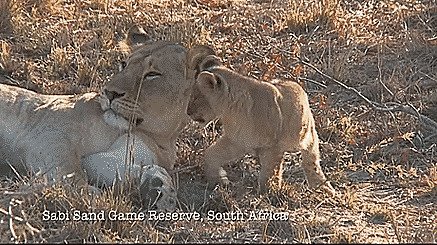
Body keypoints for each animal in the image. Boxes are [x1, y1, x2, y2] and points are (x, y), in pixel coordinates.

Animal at [186, 45, 334, 195]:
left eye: (195, 97)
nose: (188, 112)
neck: (231, 112)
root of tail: (296, 85)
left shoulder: (273, 147)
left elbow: (270, 173)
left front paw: (269, 193)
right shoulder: (237, 141)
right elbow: (211, 154)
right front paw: (218, 180)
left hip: (307, 134)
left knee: (311, 160)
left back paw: (322, 186)